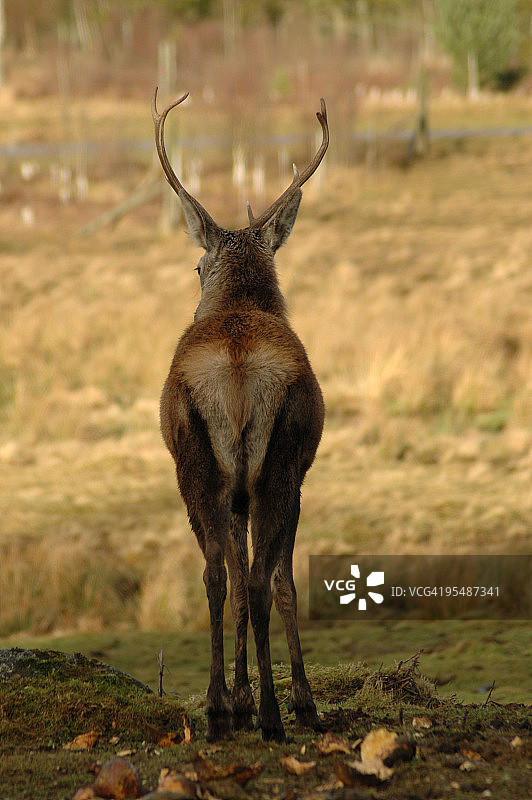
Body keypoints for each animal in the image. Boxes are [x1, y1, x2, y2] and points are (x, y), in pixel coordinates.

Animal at [152, 89, 329, 743]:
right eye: (199, 267)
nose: (196, 281)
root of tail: (232, 370)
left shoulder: (235, 491)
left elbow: (233, 571)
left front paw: (242, 694)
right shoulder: (292, 478)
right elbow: (283, 582)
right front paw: (294, 699)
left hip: (200, 464)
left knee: (216, 576)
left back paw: (218, 710)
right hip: (278, 463)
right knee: (255, 580)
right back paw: (277, 714)